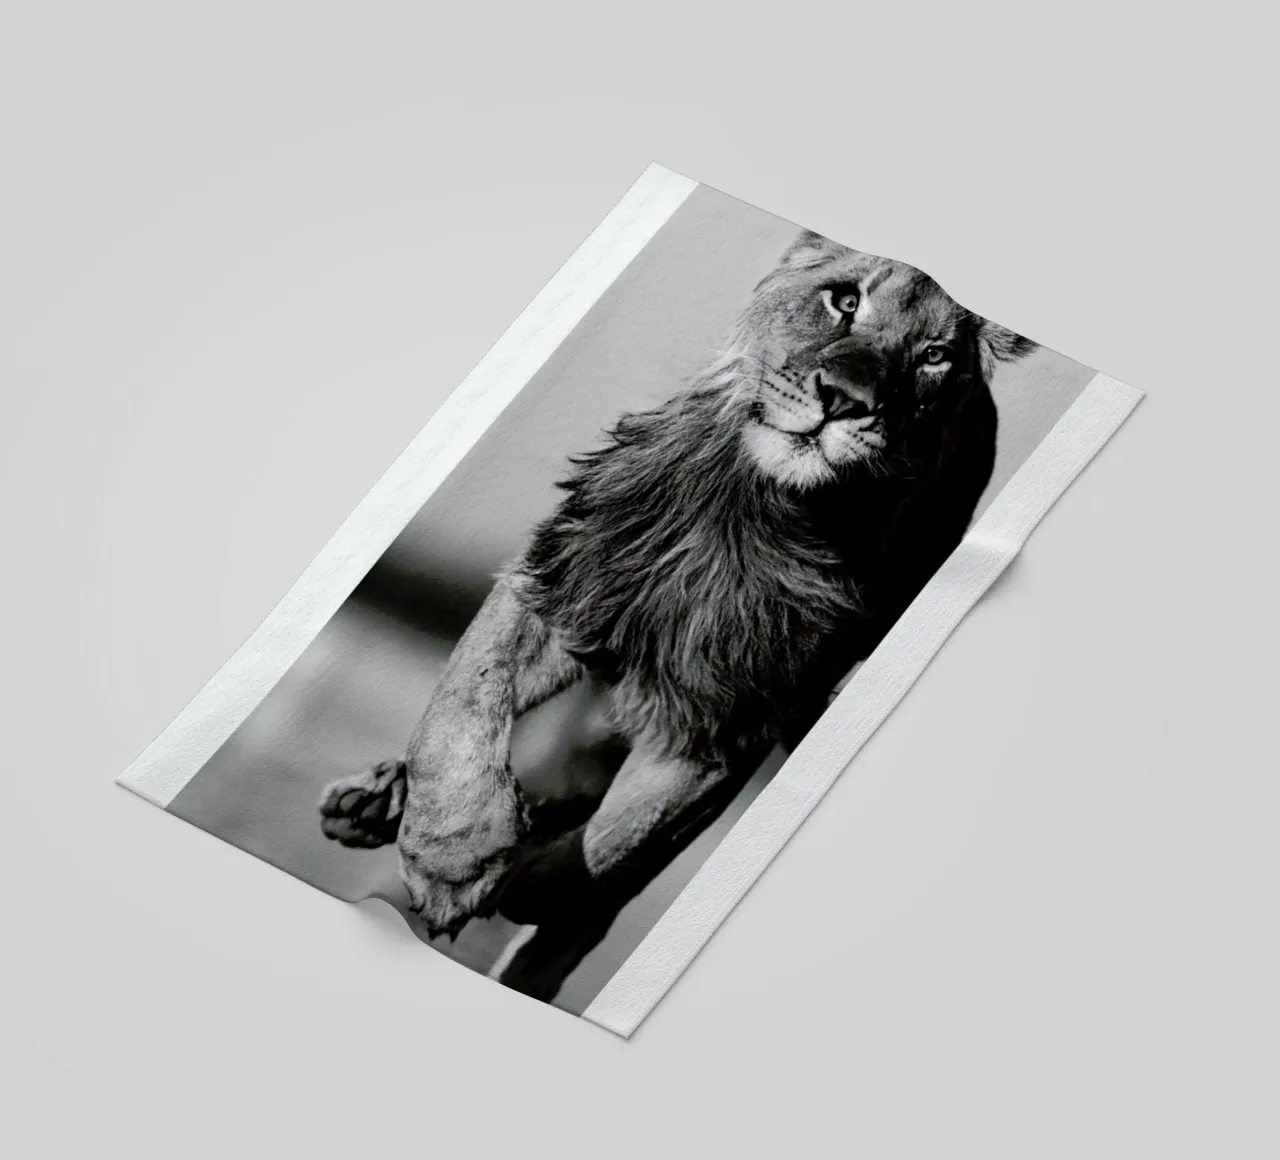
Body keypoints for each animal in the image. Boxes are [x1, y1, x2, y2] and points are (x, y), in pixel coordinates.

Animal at [318, 229, 1035, 1001]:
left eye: (934, 357)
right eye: (844, 300)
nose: (846, 402)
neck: (755, 510)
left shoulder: (740, 711)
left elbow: (629, 837)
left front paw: (530, 880)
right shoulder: (563, 578)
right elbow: (465, 700)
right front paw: (456, 856)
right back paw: (378, 802)